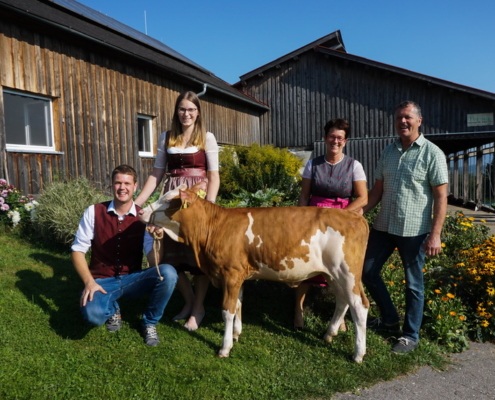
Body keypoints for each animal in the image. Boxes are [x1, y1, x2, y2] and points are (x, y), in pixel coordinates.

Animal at [139, 184, 368, 362]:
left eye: (168, 200)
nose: (141, 212)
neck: (213, 228)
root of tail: (353, 215)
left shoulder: (230, 273)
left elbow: (228, 309)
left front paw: (225, 347)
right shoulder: (239, 274)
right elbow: (239, 303)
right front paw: (237, 334)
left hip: (347, 272)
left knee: (359, 306)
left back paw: (358, 353)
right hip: (333, 274)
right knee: (343, 301)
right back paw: (329, 334)